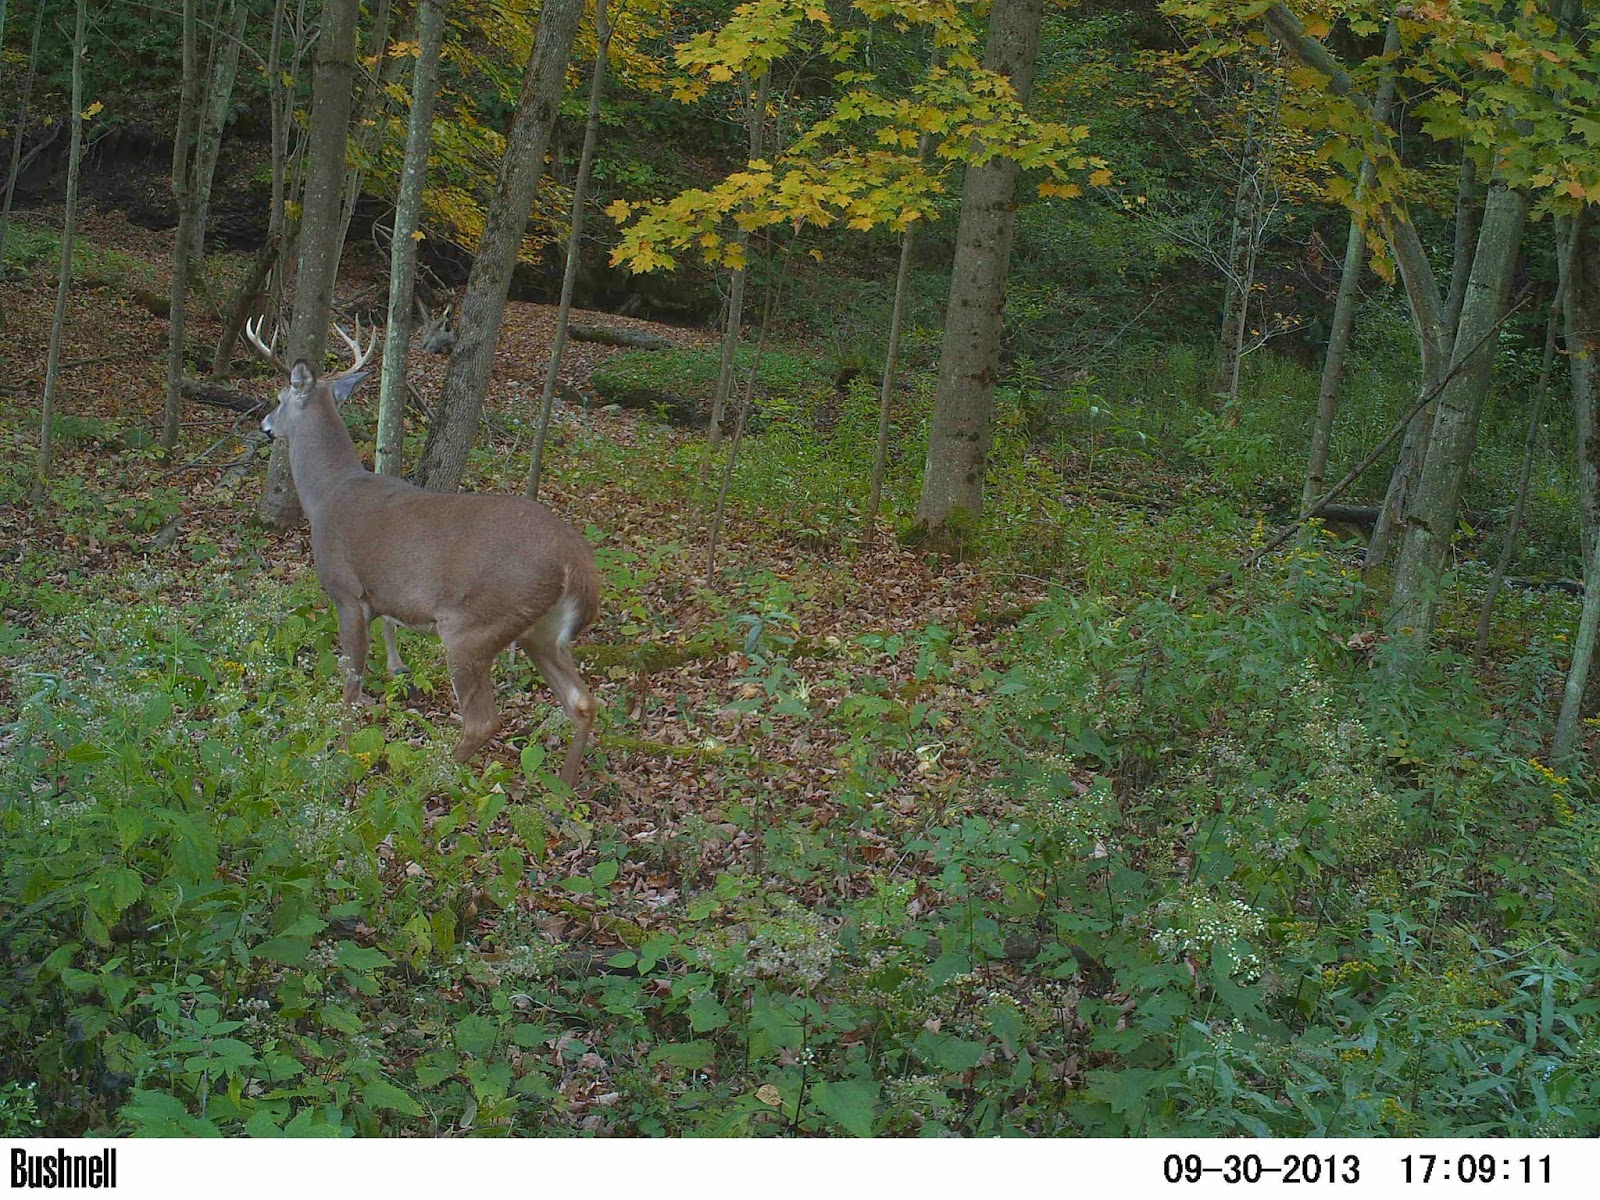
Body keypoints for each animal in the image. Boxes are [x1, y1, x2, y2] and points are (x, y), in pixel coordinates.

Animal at [245, 317, 601, 785]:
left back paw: (425, 779)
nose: (266, 424)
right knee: (583, 701)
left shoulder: (346, 591)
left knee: (483, 720)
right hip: (540, 632)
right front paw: (398, 675)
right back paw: (561, 789)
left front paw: (338, 752)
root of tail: (575, 563)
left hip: (474, 626)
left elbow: (352, 681)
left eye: (281, 398)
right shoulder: (382, 597)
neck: (327, 494)